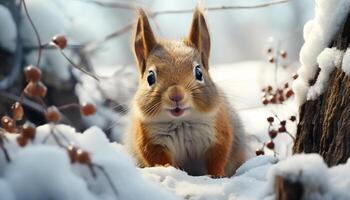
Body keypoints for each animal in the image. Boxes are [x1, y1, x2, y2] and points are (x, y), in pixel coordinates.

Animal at [124, 7, 247, 177]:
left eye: (199, 73)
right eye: (150, 77)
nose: (176, 95)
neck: (181, 121)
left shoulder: (219, 133)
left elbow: (218, 158)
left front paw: (217, 175)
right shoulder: (149, 141)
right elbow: (158, 159)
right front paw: (167, 170)